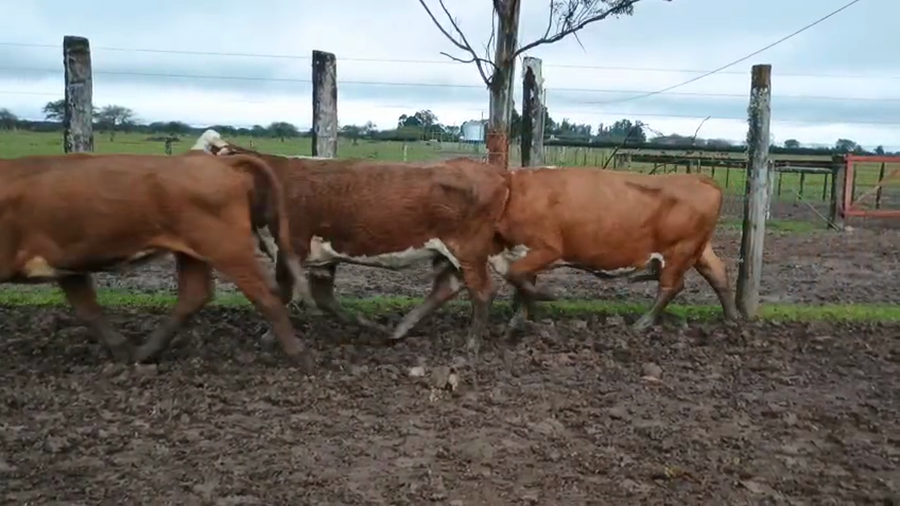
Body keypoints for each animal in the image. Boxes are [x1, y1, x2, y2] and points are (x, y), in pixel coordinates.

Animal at [0, 151, 314, 364]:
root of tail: (218, 162)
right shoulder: (69, 264)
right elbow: (88, 310)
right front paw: (122, 350)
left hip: (228, 250)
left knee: (267, 296)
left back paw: (299, 355)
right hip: (192, 253)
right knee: (194, 295)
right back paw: (146, 352)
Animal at [192, 130, 508, 352]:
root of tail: (493, 173)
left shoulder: (288, 249)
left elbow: (282, 295)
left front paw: (271, 337)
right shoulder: (321, 258)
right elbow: (324, 299)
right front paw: (365, 324)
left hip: (466, 249)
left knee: (483, 291)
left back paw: (471, 345)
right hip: (448, 252)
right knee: (448, 287)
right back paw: (400, 329)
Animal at [486, 166, 740, 333]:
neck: (513, 195)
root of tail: (699, 178)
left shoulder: (546, 249)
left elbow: (518, 278)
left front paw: (541, 300)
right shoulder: (522, 253)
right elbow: (523, 283)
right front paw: (520, 318)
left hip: (679, 251)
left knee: (672, 286)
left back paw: (642, 324)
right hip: (699, 249)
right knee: (717, 274)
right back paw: (733, 320)